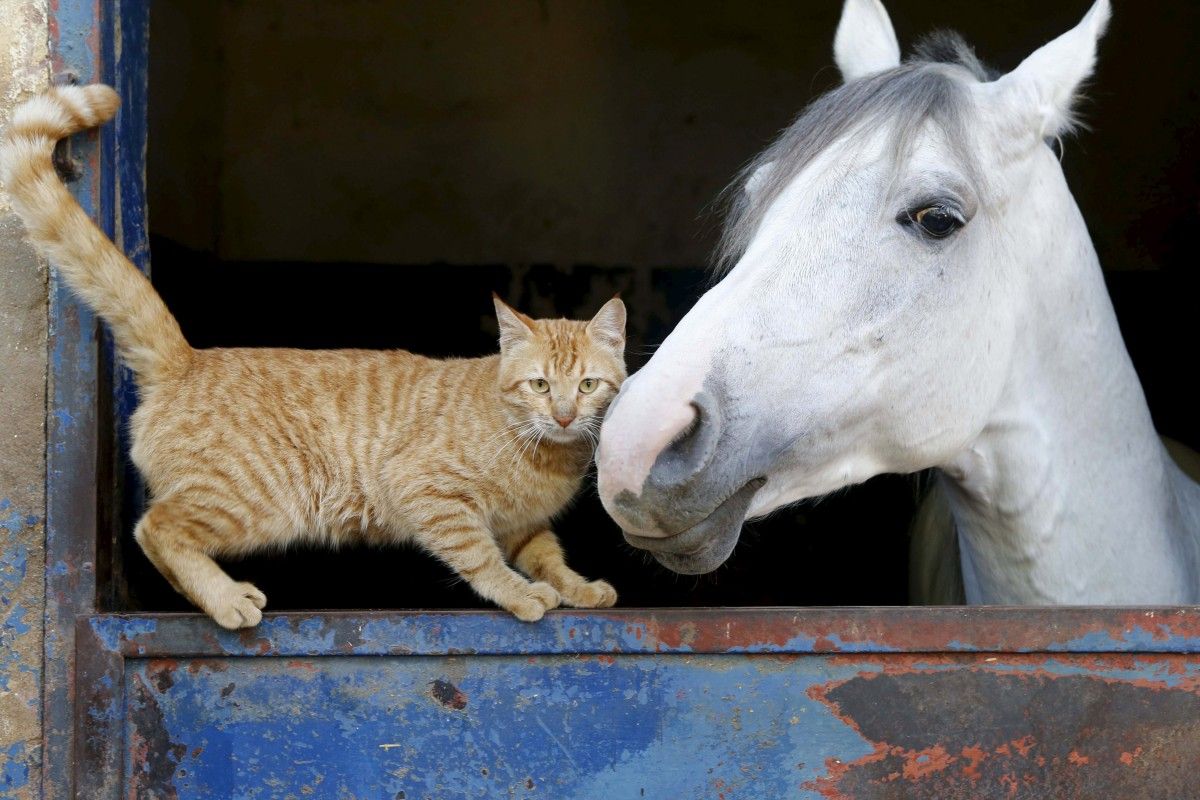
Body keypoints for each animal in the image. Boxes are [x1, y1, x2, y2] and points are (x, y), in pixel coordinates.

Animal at [4, 86, 628, 623]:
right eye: (540, 385)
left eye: (588, 386)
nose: (565, 416)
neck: (546, 458)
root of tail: (189, 357)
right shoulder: (428, 492)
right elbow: (480, 556)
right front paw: (520, 594)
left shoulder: (526, 526)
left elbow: (549, 557)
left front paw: (577, 588)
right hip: (253, 500)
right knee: (155, 529)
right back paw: (226, 599)